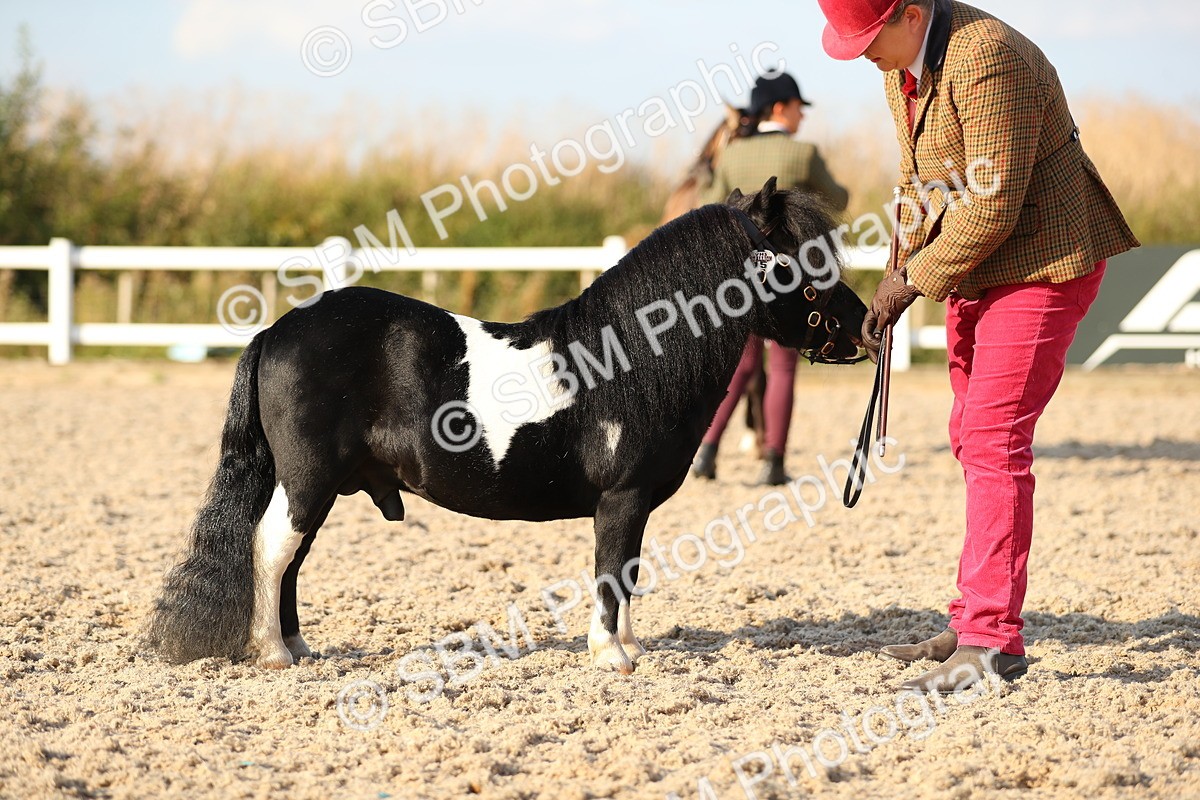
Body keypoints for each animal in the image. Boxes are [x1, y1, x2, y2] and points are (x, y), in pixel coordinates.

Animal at [145, 178, 867, 675]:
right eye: (805, 259)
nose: (864, 325)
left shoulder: (633, 504)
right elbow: (611, 570)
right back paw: (274, 653)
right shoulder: (622, 499)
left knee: (290, 558)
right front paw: (611, 656)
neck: (631, 357)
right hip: (306, 479)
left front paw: (629, 646)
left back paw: (297, 645)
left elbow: (628, 571)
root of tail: (278, 329)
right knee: (272, 548)